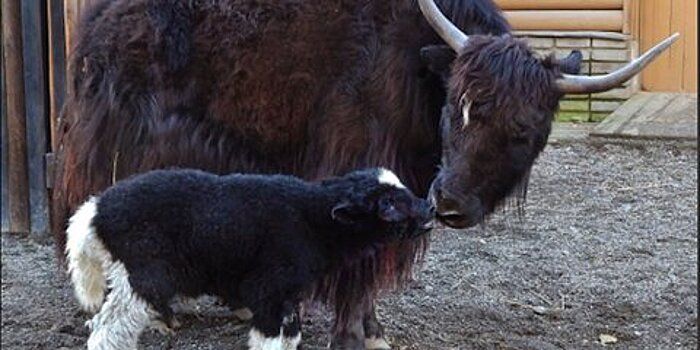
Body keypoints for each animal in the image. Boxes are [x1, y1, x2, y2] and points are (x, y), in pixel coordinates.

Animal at [64, 168, 432, 348]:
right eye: (388, 206)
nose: (429, 209)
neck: (311, 219)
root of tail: (95, 211)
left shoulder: (287, 295)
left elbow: (290, 336)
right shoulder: (268, 288)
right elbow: (270, 339)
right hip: (143, 272)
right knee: (108, 329)